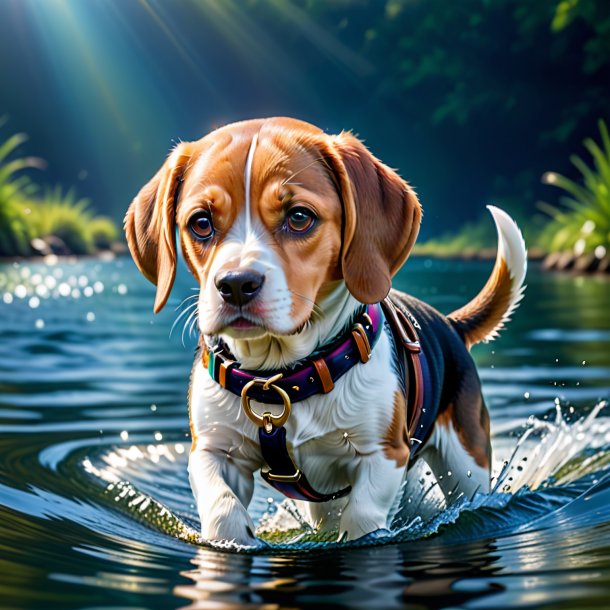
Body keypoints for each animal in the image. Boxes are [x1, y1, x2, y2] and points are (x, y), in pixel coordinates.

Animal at [123, 116, 524, 544]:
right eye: (200, 223)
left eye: (299, 217)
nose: (235, 284)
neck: (281, 377)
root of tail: (449, 323)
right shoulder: (213, 450)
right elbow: (222, 509)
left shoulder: (384, 453)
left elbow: (362, 519)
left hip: (466, 466)